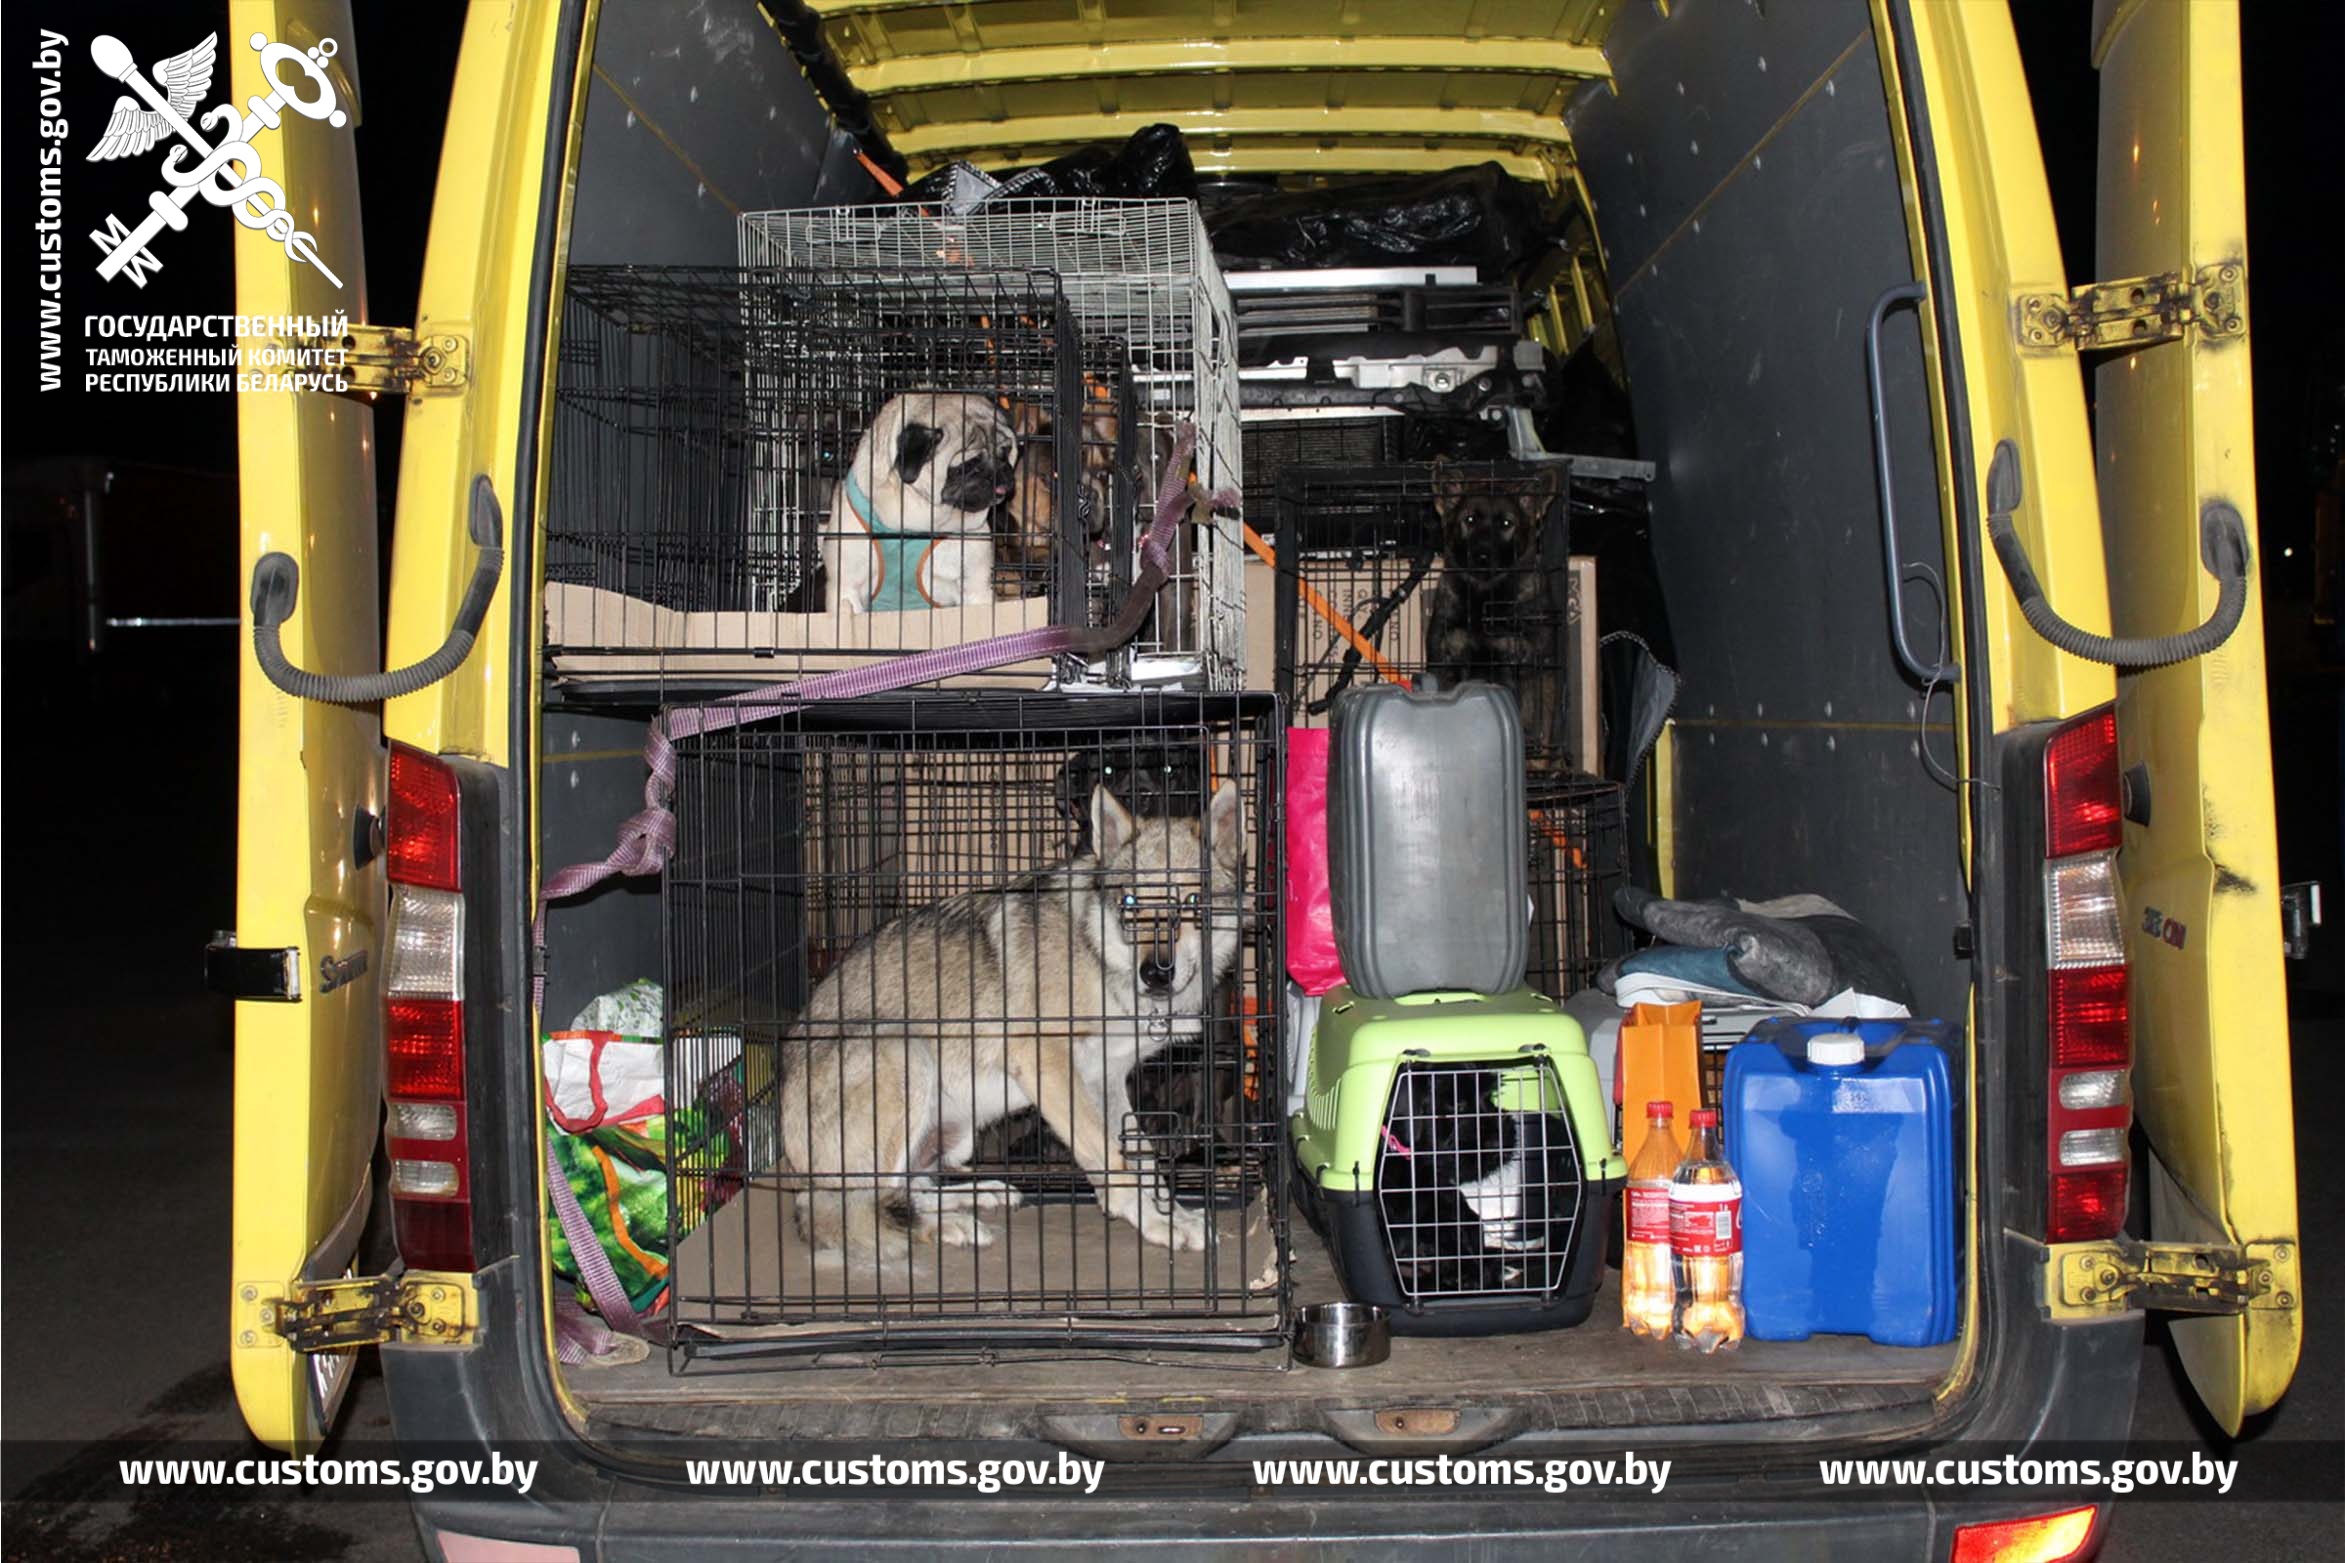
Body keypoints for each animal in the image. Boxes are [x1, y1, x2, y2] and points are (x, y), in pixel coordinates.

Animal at [778, 777, 1247, 1256]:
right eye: (1131, 902)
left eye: (1193, 901)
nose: (1155, 973)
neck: (1097, 955)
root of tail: (793, 1175)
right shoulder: (1048, 1064)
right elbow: (1111, 1158)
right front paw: (1156, 1223)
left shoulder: (1108, 1079)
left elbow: (1144, 1161)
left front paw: (1172, 1214)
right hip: (904, 1051)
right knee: (854, 1212)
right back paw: (950, 1226)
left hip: (956, 1134)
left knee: (907, 1192)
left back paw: (980, 1195)